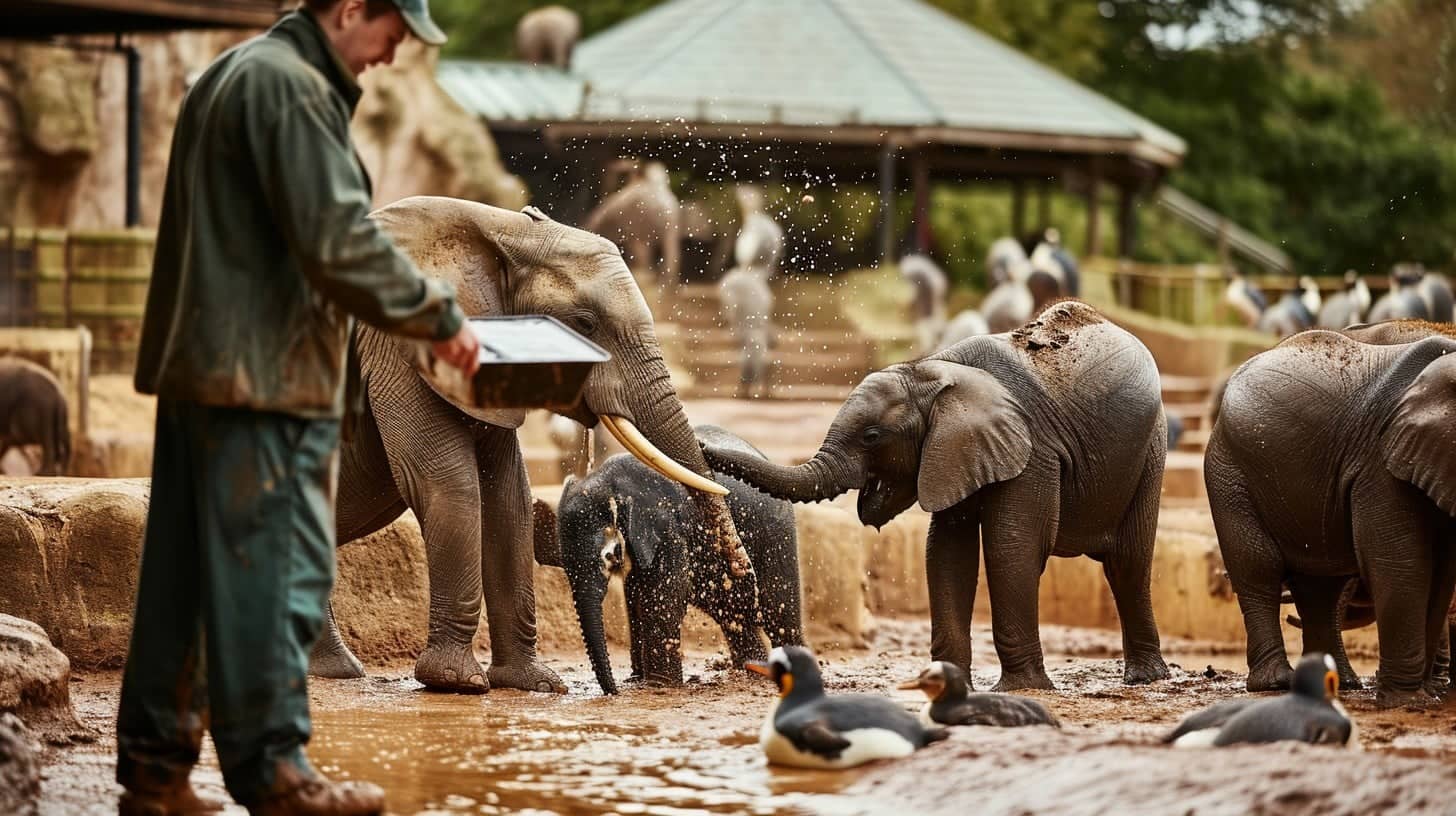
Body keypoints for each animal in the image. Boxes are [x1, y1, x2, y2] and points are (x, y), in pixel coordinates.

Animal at [307, 198, 756, 694]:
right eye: (585, 324)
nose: (743, 570)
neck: (504, 232)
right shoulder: (401, 345)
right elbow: (450, 485)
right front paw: (458, 682)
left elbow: (508, 498)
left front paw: (534, 684)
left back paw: (333, 669)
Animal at [547, 424, 804, 694]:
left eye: (609, 556)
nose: (614, 691)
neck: (609, 481)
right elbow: (635, 597)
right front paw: (639, 681)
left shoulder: (667, 528)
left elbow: (662, 595)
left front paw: (660, 686)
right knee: (731, 614)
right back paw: (750, 671)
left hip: (777, 536)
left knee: (777, 608)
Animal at [704, 301, 1171, 690]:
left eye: (872, 436)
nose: (704, 447)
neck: (933, 371)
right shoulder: (959, 453)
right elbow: (946, 550)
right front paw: (949, 682)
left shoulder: (1032, 449)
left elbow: (1011, 546)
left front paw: (1022, 690)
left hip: (1152, 448)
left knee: (1127, 562)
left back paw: (1146, 679)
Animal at [1205, 320, 1456, 707]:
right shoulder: (1378, 462)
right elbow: (1400, 560)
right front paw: (1408, 701)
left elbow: (1442, 570)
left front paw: (1424, 697)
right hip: (1229, 469)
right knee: (1260, 566)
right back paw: (1277, 682)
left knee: (1321, 584)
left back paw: (1338, 684)